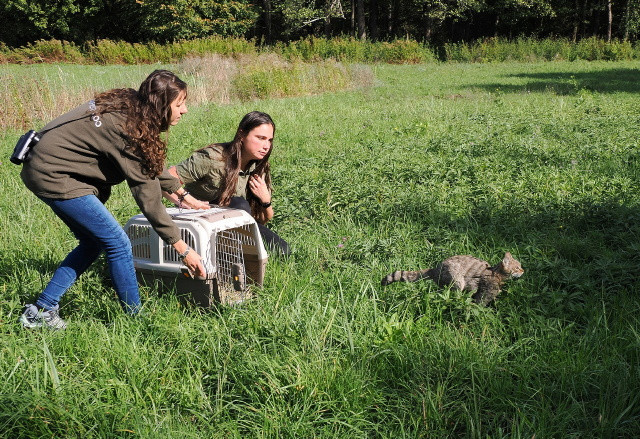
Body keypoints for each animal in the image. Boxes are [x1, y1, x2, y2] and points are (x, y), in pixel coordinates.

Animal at [382, 253, 524, 304]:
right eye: (517, 268)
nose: (523, 270)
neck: (496, 273)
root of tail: (435, 269)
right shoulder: (485, 290)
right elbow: (480, 302)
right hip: (457, 280)